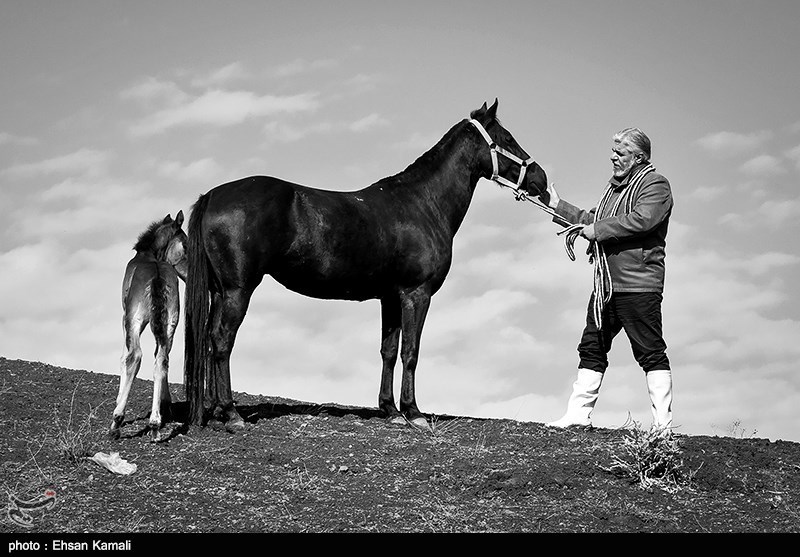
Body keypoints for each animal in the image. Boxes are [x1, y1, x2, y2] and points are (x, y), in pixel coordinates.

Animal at [109, 211, 188, 440]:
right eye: (186, 244)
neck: (148, 255)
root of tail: (157, 275)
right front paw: (166, 405)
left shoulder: (125, 317)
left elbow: (124, 356)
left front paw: (118, 399)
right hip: (171, 321)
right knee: (162, 358)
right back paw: (155, 424)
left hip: (134, 320)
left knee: (135, 356)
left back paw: (116, 422)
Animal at [182, 99, 548, 430]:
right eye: (507, 139)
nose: (541, 180)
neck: (423, 204)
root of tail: (213, 195)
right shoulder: (417, 294)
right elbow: (411, 351)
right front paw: (414, 412)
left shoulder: (391, 297)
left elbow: (389, 350)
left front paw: (390, 410)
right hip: (238, 290)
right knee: (222, 340)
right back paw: (232, 414)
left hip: (221, 291)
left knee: (210, 338)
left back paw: (214, 410)